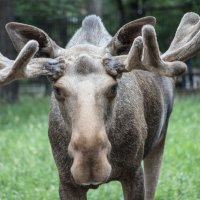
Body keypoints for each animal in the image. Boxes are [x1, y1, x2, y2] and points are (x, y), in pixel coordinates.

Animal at [0, 12, 200, 200]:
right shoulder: (65, 179)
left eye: (113, 87)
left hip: (159, 139)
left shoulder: (133, 171)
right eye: (57, 89)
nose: (90, 161)